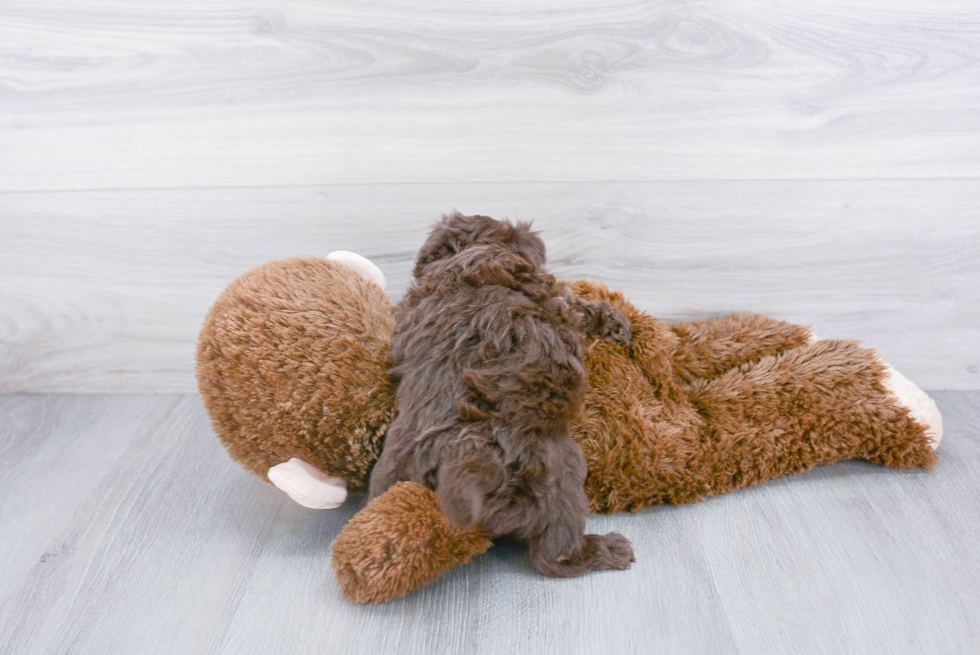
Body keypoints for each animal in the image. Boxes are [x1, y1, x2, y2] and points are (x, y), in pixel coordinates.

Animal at [368, 213, 636, 576]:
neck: (469, 253)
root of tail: (465, 462)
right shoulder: (559, 297)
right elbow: (584, 307)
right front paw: (618, 321)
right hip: (560, 472)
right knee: (553, 555)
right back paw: (608, 549)